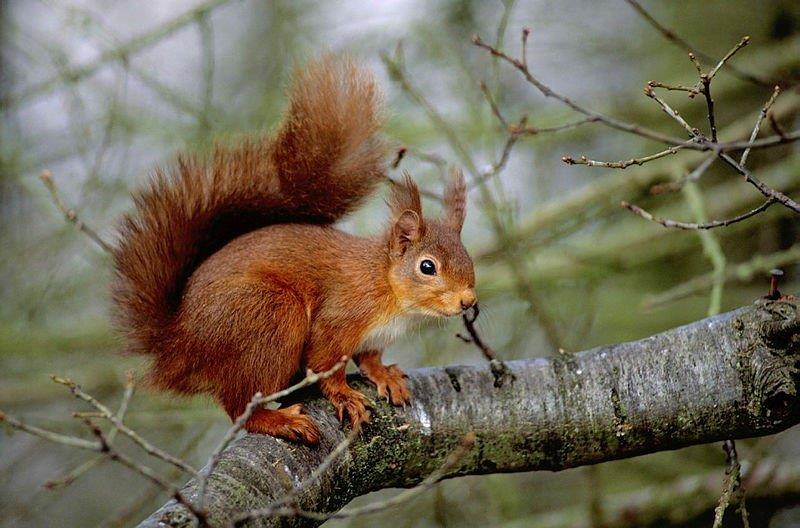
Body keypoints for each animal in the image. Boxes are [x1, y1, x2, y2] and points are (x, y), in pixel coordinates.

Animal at [111, 58, 476, 445]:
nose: (468, 301)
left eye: (468, 258)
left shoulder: (372, 338)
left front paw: (384, 375)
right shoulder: (340, 315)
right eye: (427, 267)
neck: (390, 291)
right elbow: (325, 362)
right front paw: (344, 394)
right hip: (270, 315)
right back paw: (280, 421)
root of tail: (177, 345)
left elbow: (369, 358)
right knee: (240, 406)